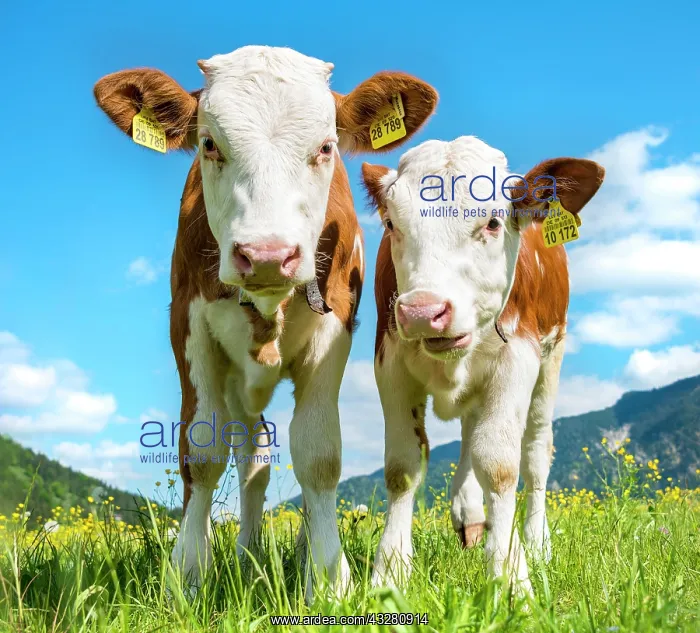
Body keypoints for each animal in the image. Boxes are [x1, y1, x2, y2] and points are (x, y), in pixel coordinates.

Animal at [93, 45, 437, 597]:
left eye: (326, 147)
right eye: (209, 143)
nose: (268, 255)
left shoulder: (335, 328)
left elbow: (319, 454)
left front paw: (327, 576)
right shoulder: (188, 328)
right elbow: (203, 451)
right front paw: (187, 575)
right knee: (250, 459)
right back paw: (248, 551)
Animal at [361, 136, 604, 594]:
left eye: (492, 222)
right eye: (390, 224)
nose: (422, 311)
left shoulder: (518, 359)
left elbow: (499, 464)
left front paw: (510, 574)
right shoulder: (390, 362)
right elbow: (402, 466)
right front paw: (391, 571)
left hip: (551, 361)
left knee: (535, 453)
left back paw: (536, 543)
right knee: (470, 432)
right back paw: (471, 512)